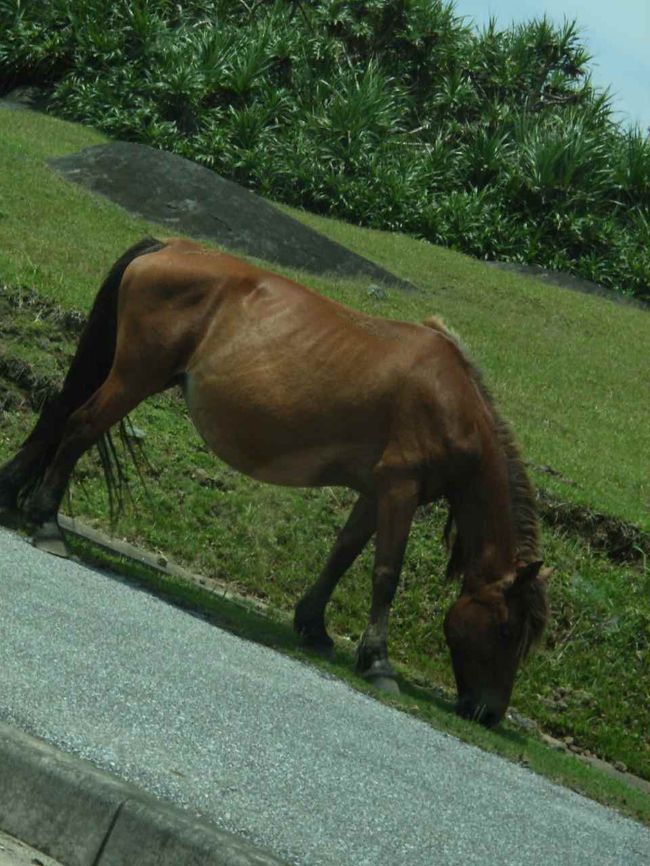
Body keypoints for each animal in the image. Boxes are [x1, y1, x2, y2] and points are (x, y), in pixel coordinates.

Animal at [0, 237, 550, 726]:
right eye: (506, 630)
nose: (488, 713)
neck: (449, 397)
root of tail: (167, 246)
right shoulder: (400, 488)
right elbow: (385, 574)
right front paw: (377, 661)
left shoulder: (374, 492)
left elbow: (342, 554)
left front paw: (314, 625)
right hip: (135, 377)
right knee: (78, 428)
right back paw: (47, 523)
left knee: (58, 415)